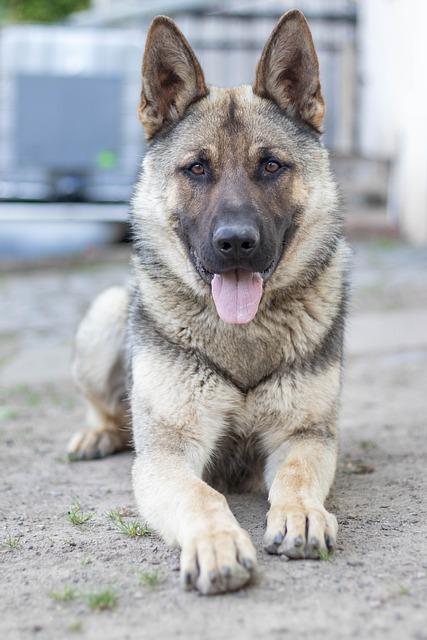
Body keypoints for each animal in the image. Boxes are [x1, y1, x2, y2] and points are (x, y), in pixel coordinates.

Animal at [67, 10, 350, 596]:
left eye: (271, 166)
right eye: (197, 169)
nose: (235, 242)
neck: (240, 335)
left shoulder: (305, 437)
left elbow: (294, 476)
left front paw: (301, 513)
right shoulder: (167, 457)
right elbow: (202, 494)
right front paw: (216, 544)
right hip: (107, 314)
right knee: (108, 408)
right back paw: (96, 433)